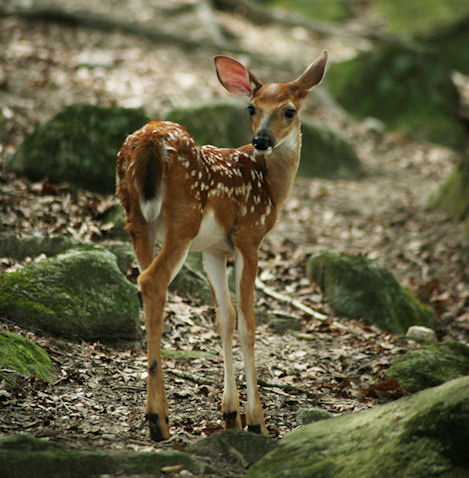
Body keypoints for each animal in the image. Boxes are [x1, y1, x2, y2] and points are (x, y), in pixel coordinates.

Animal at [115, 51, 328, 440]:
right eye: (252, 108)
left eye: (289, 110)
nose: (261, 140)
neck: (270, 186)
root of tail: (150, 138)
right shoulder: (249, 237)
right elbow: (248, 321)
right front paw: (257, 420)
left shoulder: (213, 249)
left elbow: (224, 317)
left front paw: (231, 414)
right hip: (183, 221)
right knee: (152, 280)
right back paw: (158, 420)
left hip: (135, 216)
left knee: (145, 281)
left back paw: (156, 415)